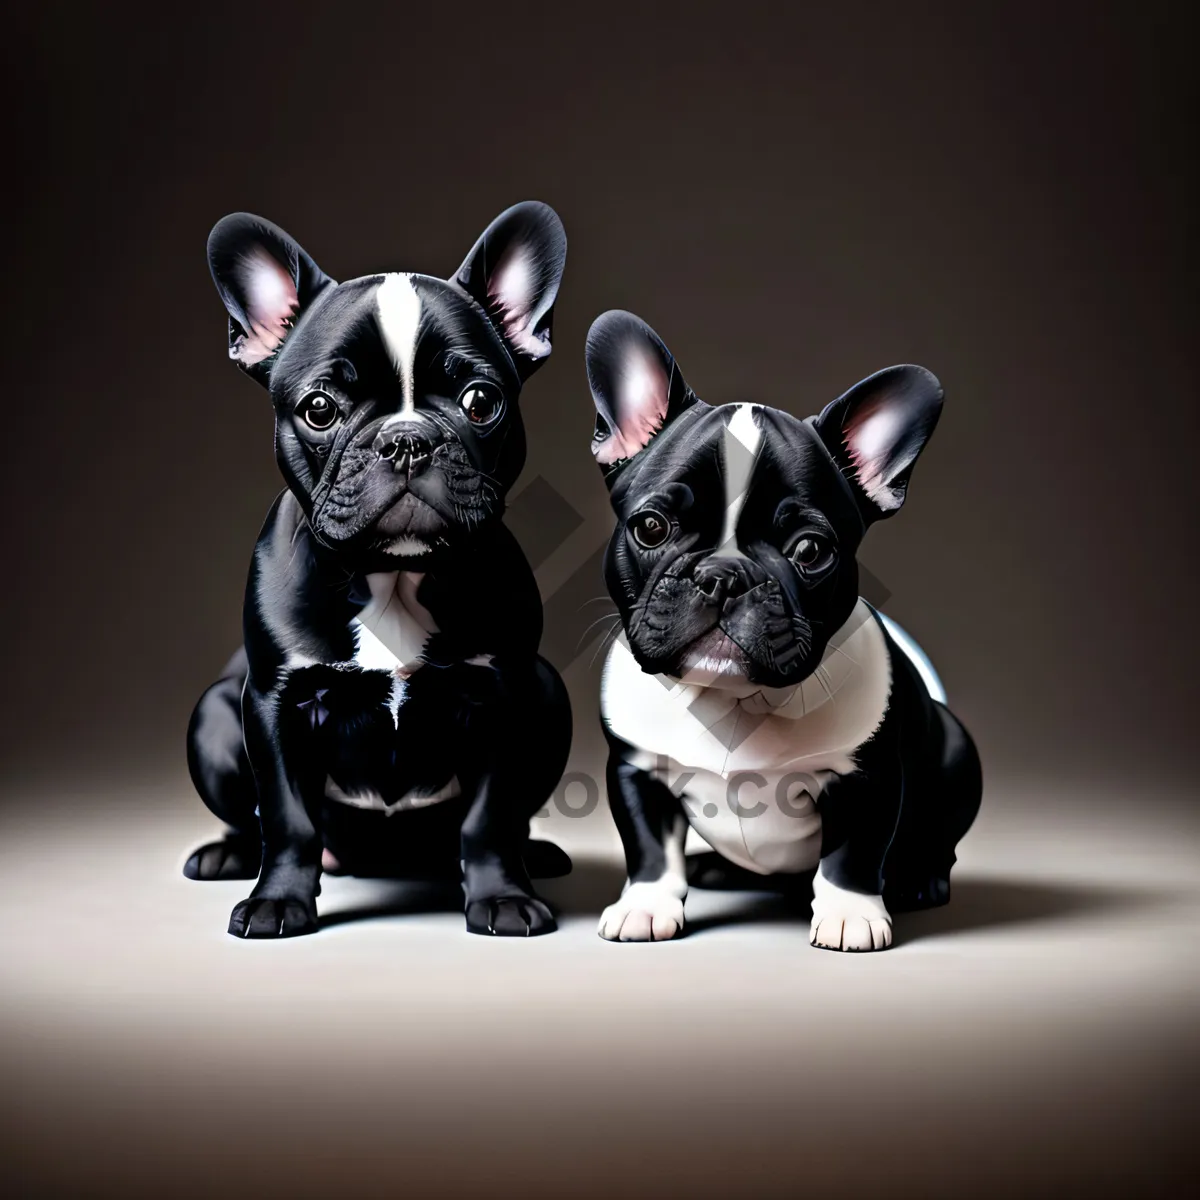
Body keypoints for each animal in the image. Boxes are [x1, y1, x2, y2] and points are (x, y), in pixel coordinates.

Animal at [184, 204, 573, 936]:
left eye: (481, 400)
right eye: (319, 409)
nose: (407, 440)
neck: (392, 573)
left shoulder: (507, 694)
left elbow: (489, 816)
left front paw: (502, 897)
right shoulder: (274, 702)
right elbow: (287, 817)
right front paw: (277, 901)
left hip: (550, 693)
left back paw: (535, 852)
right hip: (212, 717)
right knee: (255, 819)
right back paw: (226, 855)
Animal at [585, 314, 979, 950]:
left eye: (811, 551)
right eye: (650, 527)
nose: (721, 576)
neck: (732, 703)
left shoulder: (867, 779)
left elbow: (852, 854)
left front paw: (850, 916)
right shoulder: (636, 770)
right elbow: (649, 849)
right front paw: (644, 906)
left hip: (958, 753)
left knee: (937, 843)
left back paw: (919, 880)